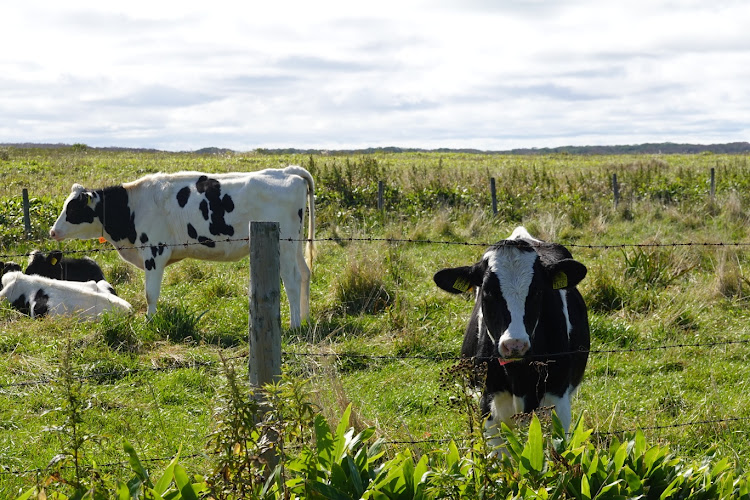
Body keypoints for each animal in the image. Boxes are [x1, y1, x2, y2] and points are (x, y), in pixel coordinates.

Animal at [49, 166, 314, 326]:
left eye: (73, 209)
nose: (53, 231)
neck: (132, 206)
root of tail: (287, 171)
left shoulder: (154, 252)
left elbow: (150, 294)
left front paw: (149, 322)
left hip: (284, 245)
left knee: (291, 280)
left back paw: (294, 325)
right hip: (296, 244)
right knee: (304, 273)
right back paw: (305, 318)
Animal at [434, 227, 592, 446]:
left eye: (537, 291)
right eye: (487, 292)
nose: (514, 345)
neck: (519, 377)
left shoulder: (558, 404)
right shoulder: (489, 407)